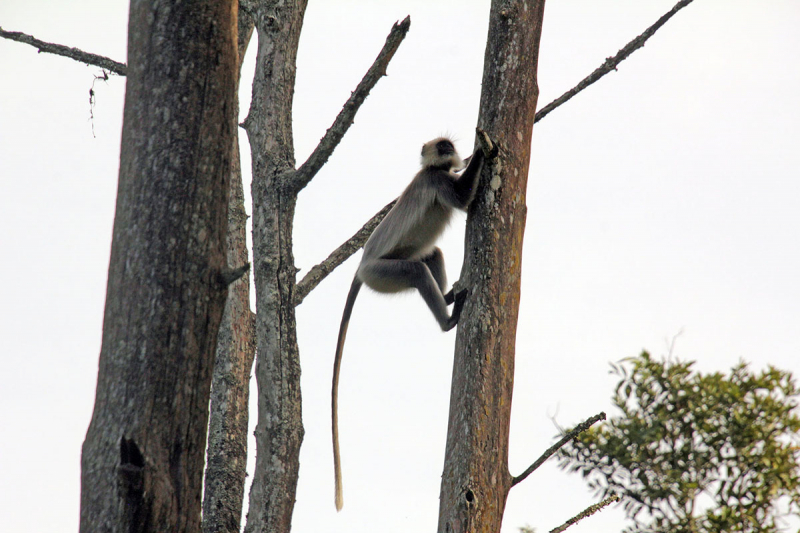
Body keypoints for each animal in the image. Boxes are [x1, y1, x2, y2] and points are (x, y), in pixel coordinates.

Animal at [330, 130, 494, 512]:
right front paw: (483, 148)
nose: (449, 151)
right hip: (382, 274)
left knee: (431, 254)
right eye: (442, 146)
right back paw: (449, 319)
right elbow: (462, 198)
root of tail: (360, 267)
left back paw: (447, 297)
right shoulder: (436, 180)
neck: (434, 169)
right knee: (418, 270)